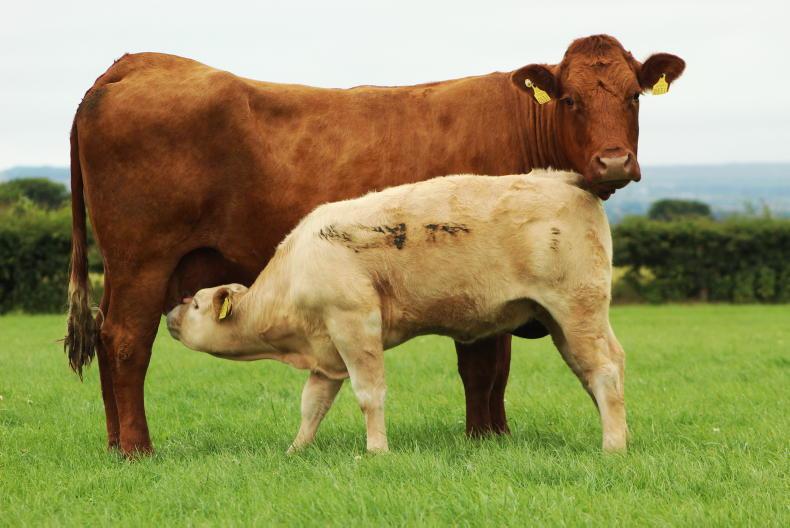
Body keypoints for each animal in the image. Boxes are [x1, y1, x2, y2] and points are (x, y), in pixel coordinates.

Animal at [166, 170, 627, 453]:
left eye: (195, 302)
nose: (169, 315)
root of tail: (561, 178)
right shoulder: (327, 353)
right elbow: (312, 403)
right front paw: (295, 449)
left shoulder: (354, 323)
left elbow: (370, 394)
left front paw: (376, 450)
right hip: (561, 320)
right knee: (600, 370)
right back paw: (621, 433)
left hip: (576, 308)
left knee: (603, 370)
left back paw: (612, 446)